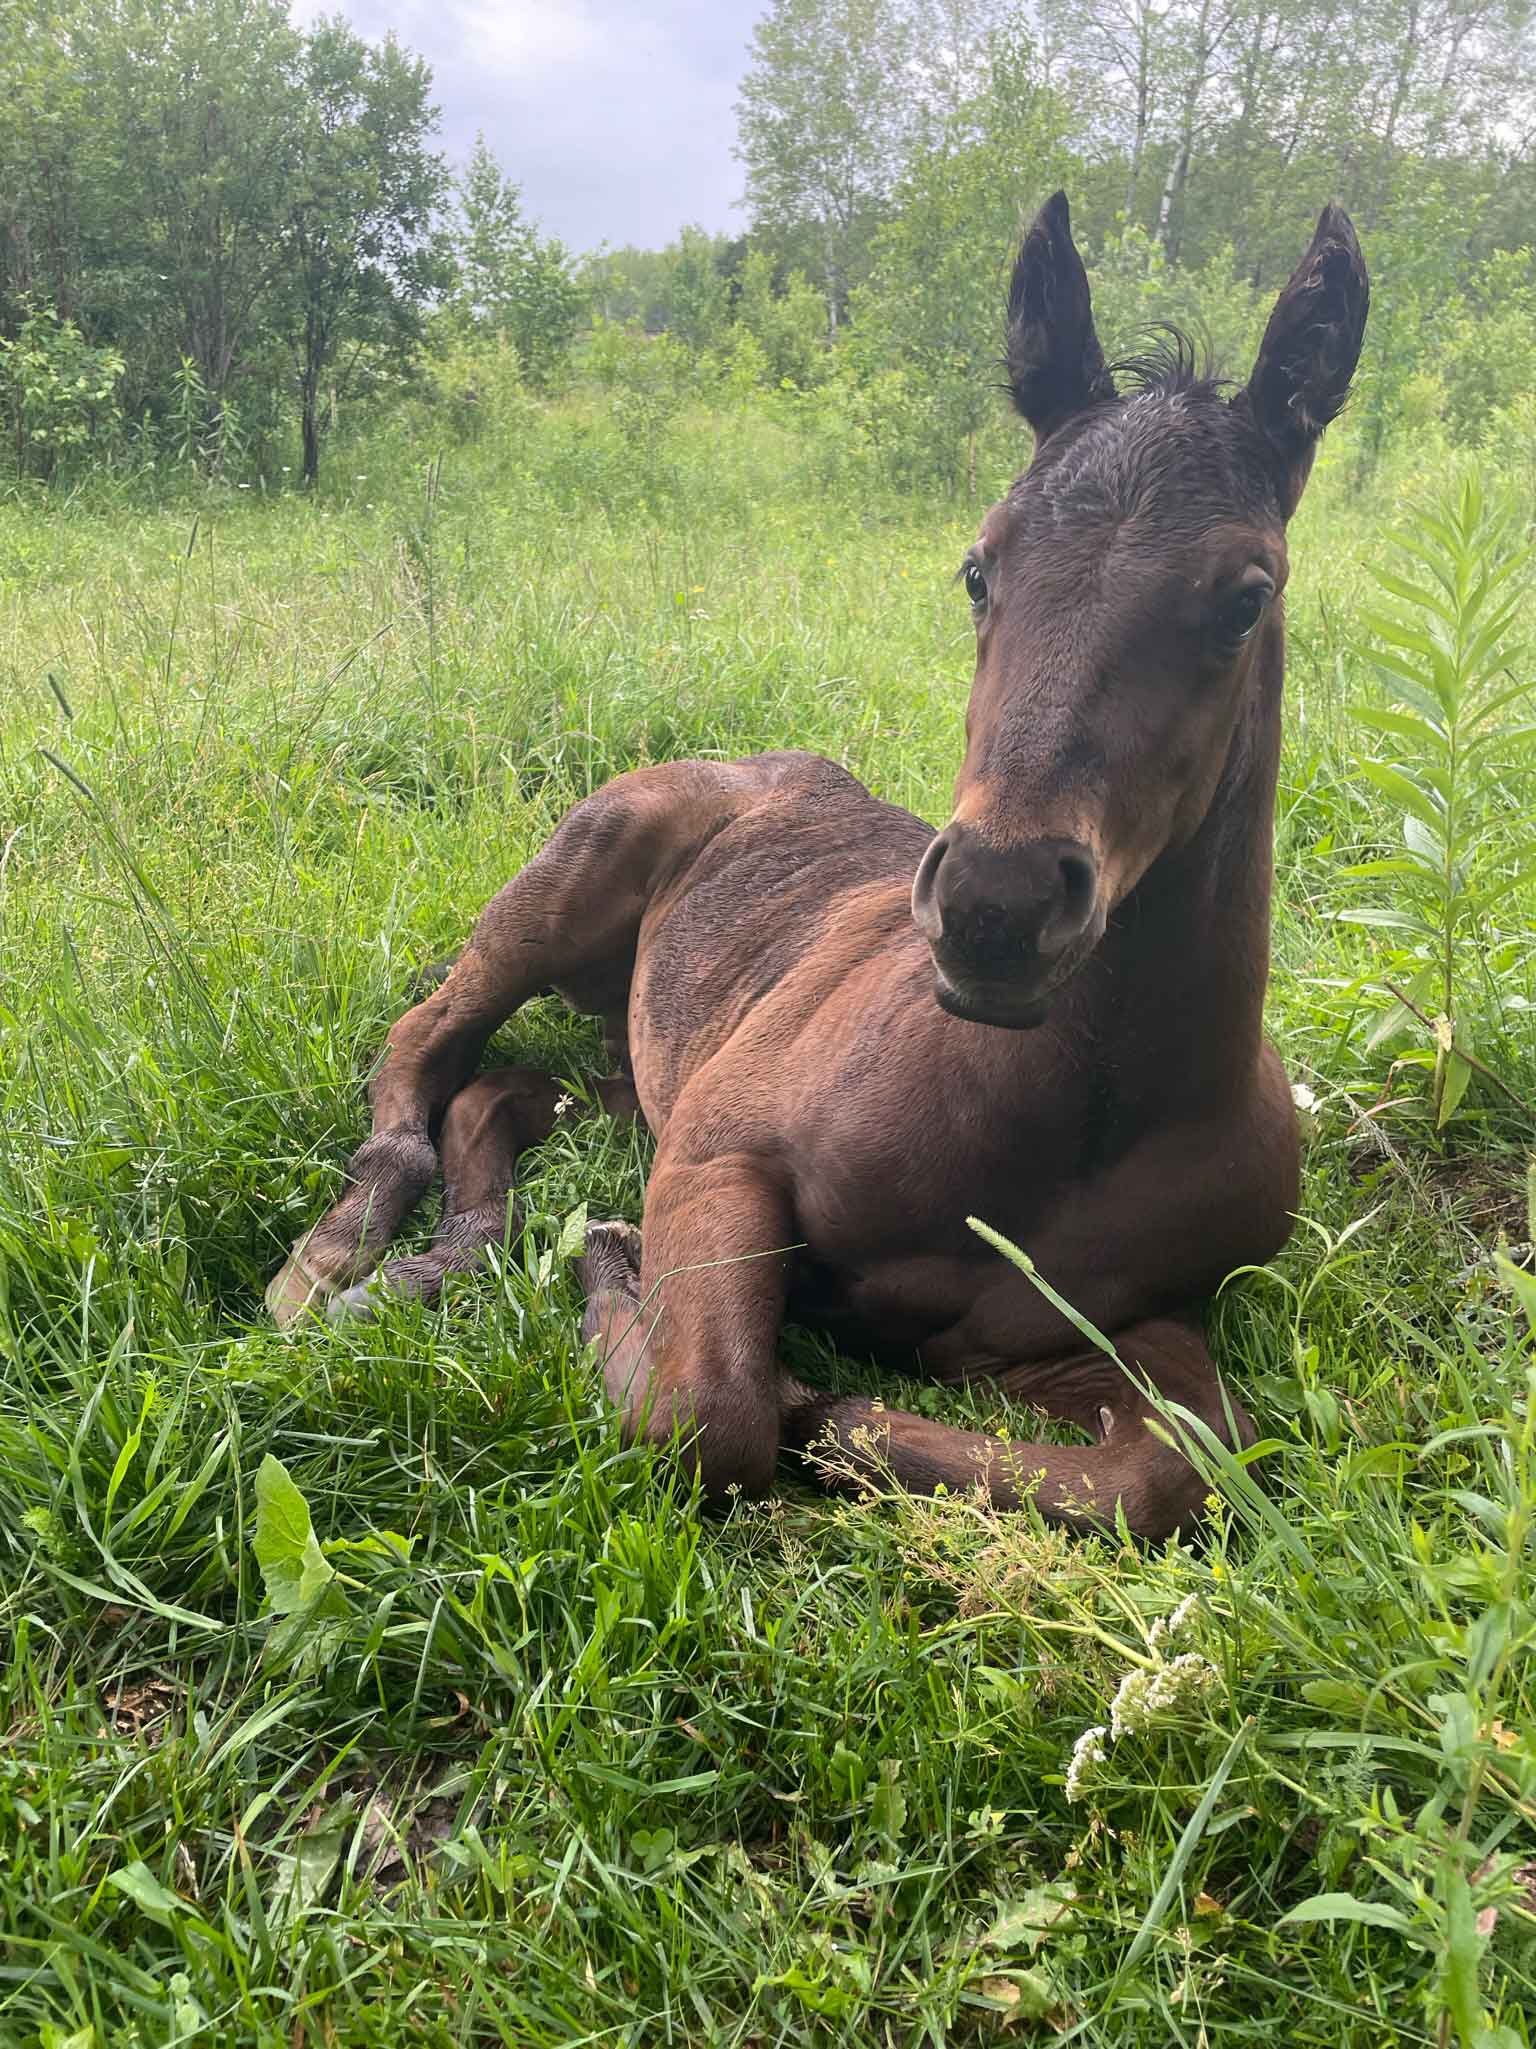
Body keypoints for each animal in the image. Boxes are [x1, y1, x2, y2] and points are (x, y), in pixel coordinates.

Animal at [268, 193, 1368, 1541]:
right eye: (978, 569)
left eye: (1246, 598)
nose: (996, 908)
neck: (1066, 1115)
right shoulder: (721, 1149)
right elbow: (710, 1413)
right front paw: (624, 1277)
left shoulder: (1074, 1329)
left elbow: (1176, 1465)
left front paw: (821, 1400)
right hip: (563, 892)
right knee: (427, 1045)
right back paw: (343, 1263)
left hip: (645, 1062)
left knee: (506, 1093)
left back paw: (455, 1250)